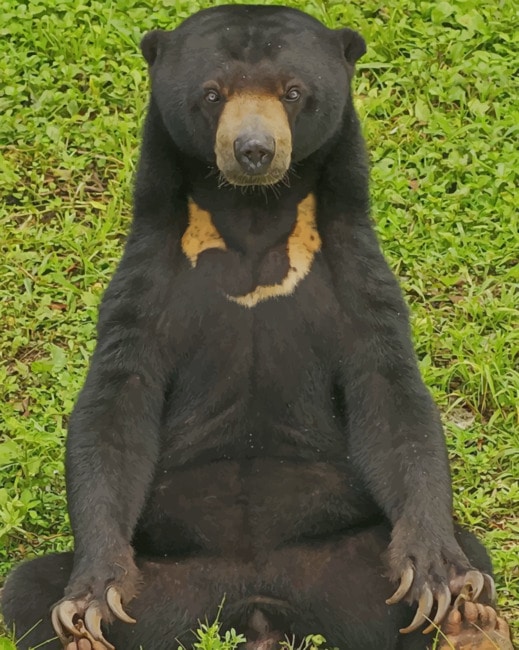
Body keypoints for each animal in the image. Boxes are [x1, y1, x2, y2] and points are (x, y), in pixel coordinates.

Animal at [1, 5, 512, 650]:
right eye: (212, 94)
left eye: (293, 92)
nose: (253, 151)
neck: (253, 213)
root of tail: (257, 608)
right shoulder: (150, 269)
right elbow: (116, 402)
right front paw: (94, 594)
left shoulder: (352, 263)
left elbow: (391, 393)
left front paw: (436, 573)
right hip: (171, 586)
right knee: (27, 587)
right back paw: (82, 634)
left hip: (344, 568)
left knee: (466, 560)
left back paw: (471, 620)